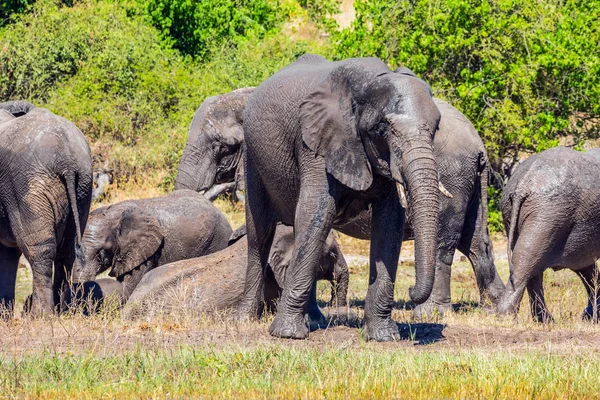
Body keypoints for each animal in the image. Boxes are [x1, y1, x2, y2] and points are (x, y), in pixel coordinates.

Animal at [0, 101, 92, 318]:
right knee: (67, 252)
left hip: (27, 186)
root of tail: (67, 158)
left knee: (39, 249)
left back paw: (39, 315)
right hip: (83, 187)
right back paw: (58, 311)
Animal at [237, 54, 442, 340]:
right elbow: (317, 210)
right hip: (252, 157)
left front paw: (383, 336)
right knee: (260, 236)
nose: (412, 291)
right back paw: (245, 319)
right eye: (382, 129)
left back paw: (313, 320)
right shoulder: (316, 142)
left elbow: (390, 223)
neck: (366, 84)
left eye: (436, 128)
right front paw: (286, 334)